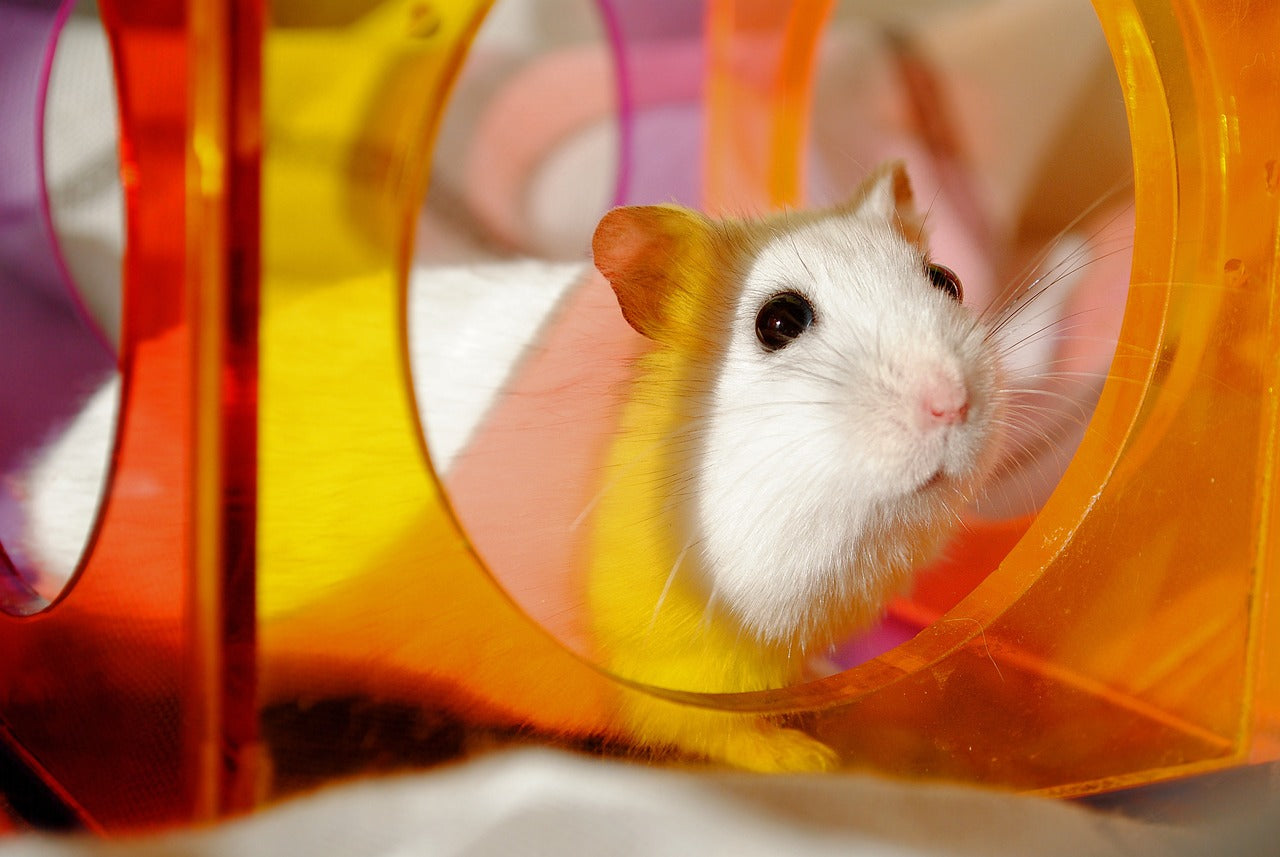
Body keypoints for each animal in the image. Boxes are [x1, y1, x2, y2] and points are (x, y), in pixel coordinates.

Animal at [586, 161, 1003, 772]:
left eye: (946, 280)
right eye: (778, 322)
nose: (951, 403)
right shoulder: (666, 664)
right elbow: (717, 728)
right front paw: (813, 758)